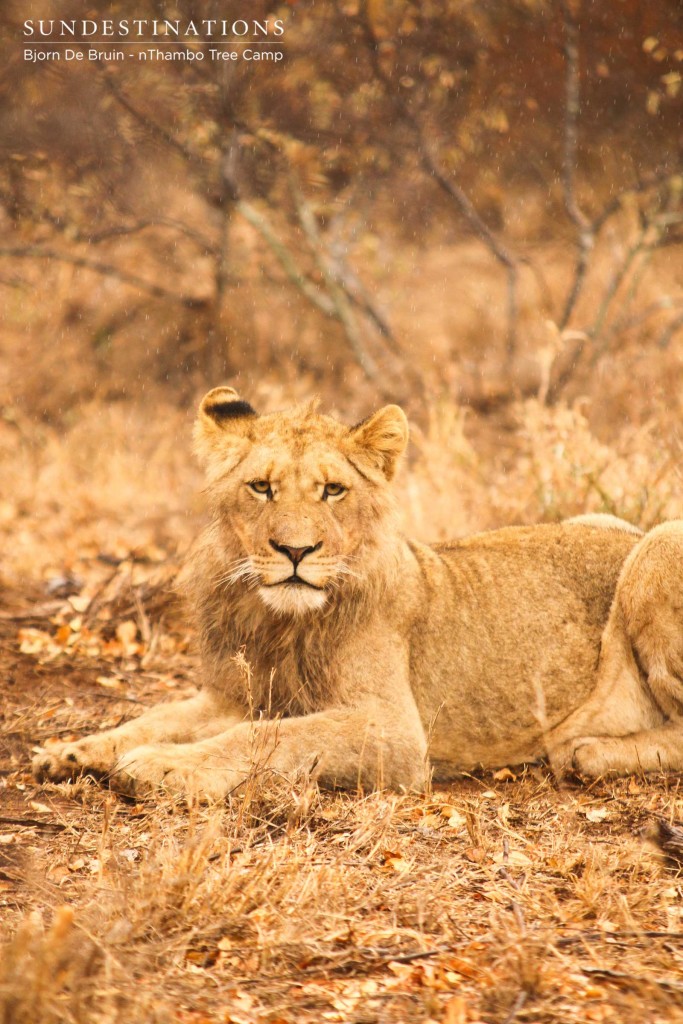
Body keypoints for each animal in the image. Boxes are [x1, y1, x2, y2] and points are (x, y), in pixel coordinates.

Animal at [33, 387, 683, 794]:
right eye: (261, 487)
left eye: (333, 491)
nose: (295, 551)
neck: (279, 622)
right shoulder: (235, 695)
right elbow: (156, 715)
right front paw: (72, 752)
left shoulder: (395, 732)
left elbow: (270, 736)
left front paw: (159, 768)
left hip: (656, 544)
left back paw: (584, 751)